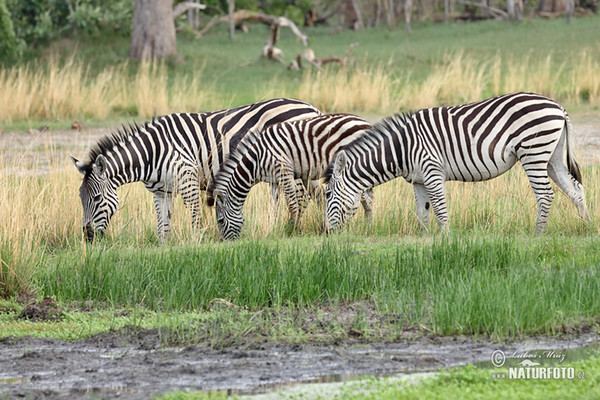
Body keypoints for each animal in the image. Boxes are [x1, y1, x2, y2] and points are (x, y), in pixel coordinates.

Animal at [69, 98, 322, 241]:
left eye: (97, 198)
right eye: (80, 199)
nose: (88, 237)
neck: (152, 153)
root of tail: (310, 107)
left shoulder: (187, 177)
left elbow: (195, 215)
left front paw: (196, 243)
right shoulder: (161, 191)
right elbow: (163, 223)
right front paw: (164, 247)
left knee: (301, 197)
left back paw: (293, 229)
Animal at [209, 112, 372, 241]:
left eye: (221, 221)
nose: (224, 243)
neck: (256, 159)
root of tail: (364, 121)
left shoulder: (284, 171)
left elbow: (292, 204)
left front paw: (295, 229)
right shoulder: (274, 180)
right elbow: (273, 207)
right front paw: (272, 230)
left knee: (366, 197)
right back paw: (367, 226)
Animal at [324, 92, 592, 233]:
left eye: (327, 195)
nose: (325, 232)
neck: (402, 148)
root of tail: (557, 106)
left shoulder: (432, 171)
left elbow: (440, 209)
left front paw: (445, 240)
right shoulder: (418, 181)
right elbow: (422, 213)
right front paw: (424, 240)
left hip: (533, 153)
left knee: (546, 194)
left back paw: (538, 234)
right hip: (552, 157)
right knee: (575, 189)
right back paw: (587, 226)